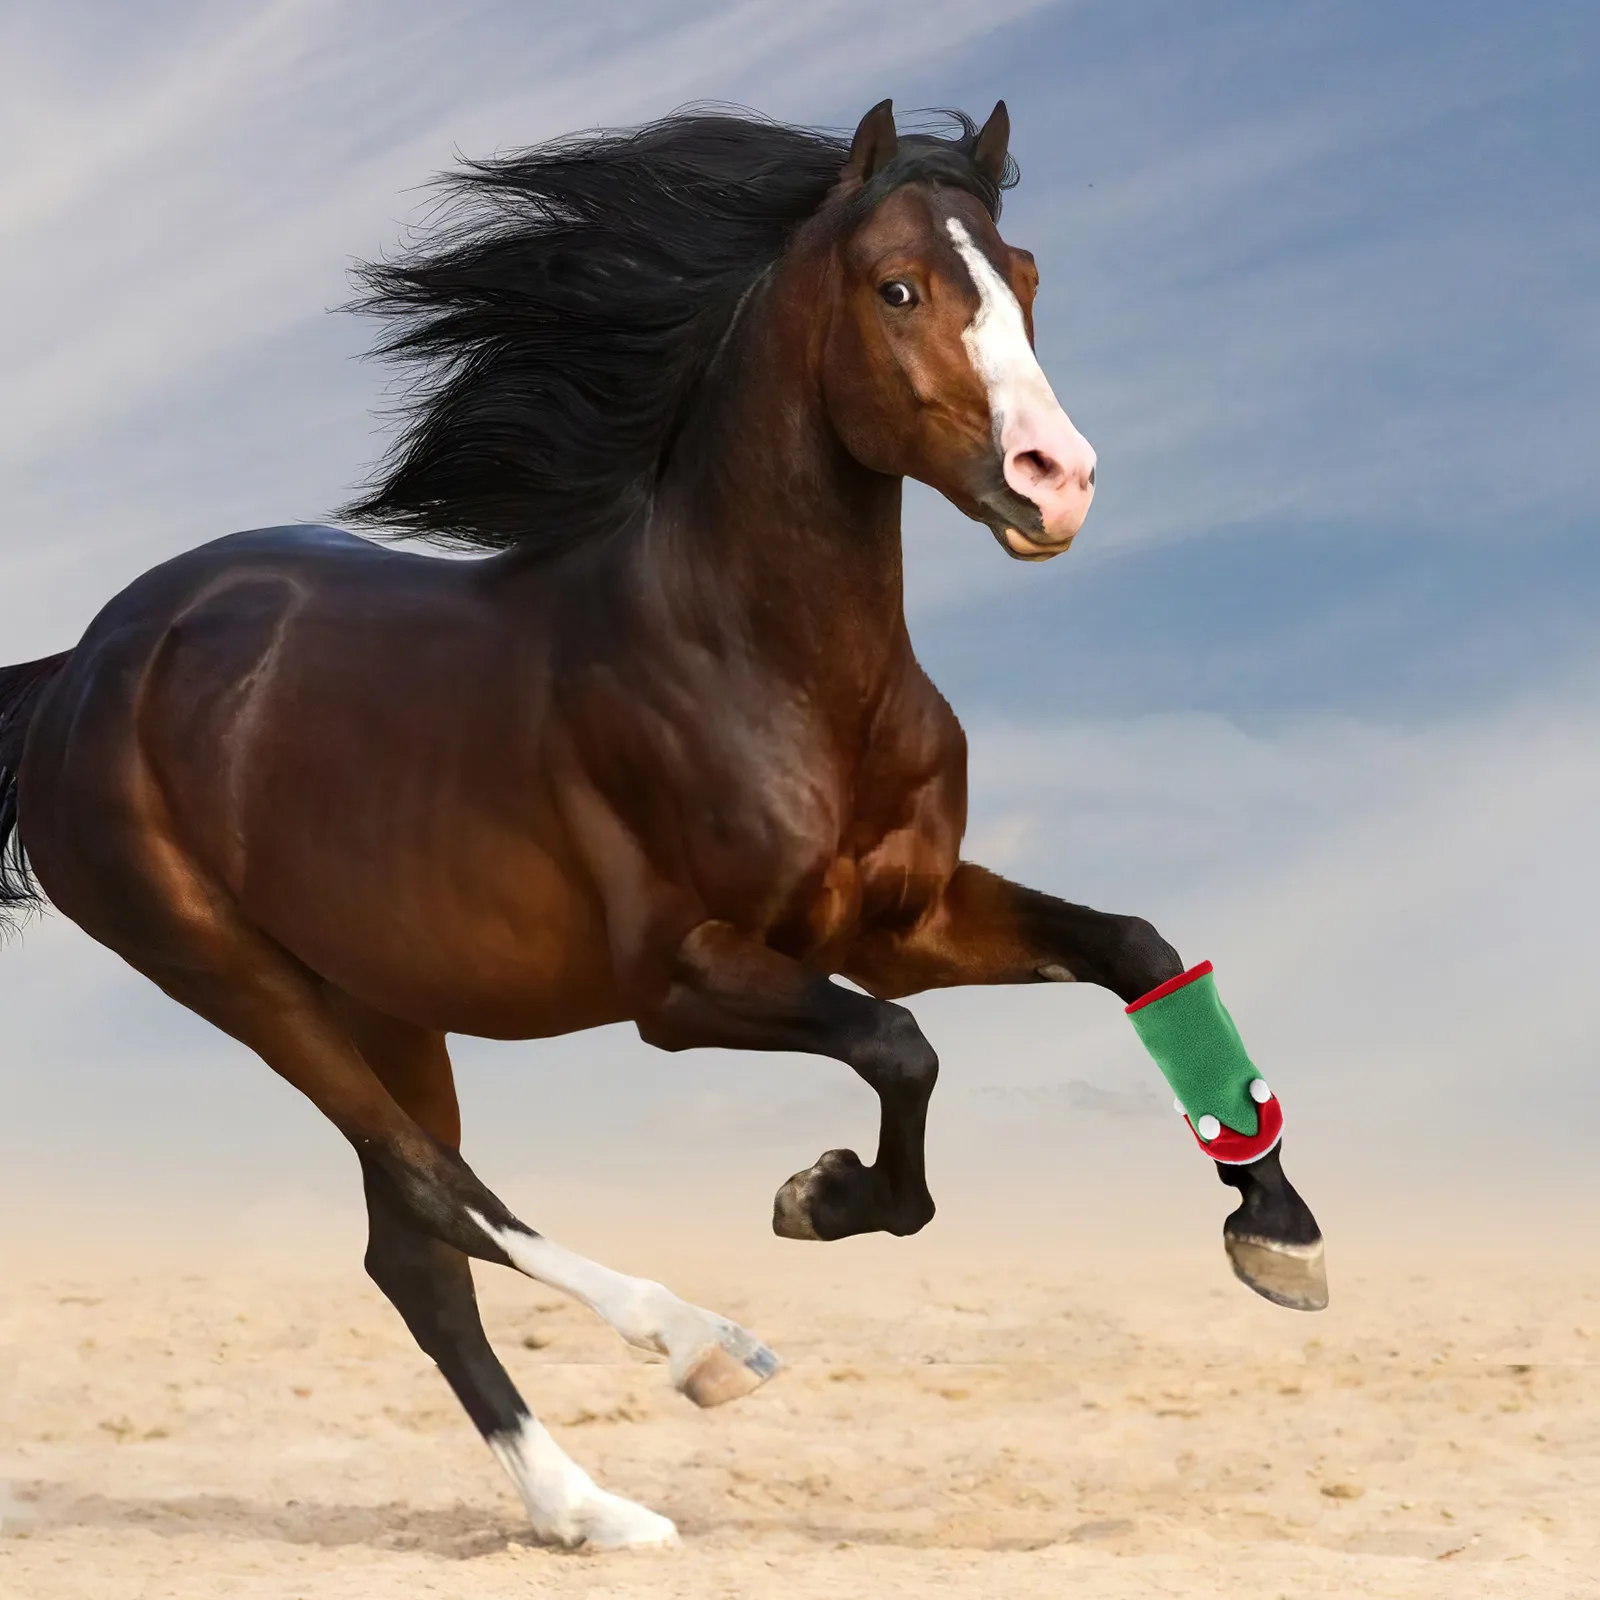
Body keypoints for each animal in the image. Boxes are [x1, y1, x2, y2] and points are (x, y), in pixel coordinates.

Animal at [0, 100, 1323, 1549]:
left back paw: (586, 1508)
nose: (1058, 482)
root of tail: (81, 664)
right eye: (897, 287)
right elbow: (899, 1047)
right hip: (227, 969)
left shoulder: (901, 917)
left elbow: (1135, 948)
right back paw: (701, 1349)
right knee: (435, 1186)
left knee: (411, 1247)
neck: (767, 663)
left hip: (383, 993)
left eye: (1025, 276)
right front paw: (823, 1196)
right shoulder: (683, 981)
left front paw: (1277, 1229)